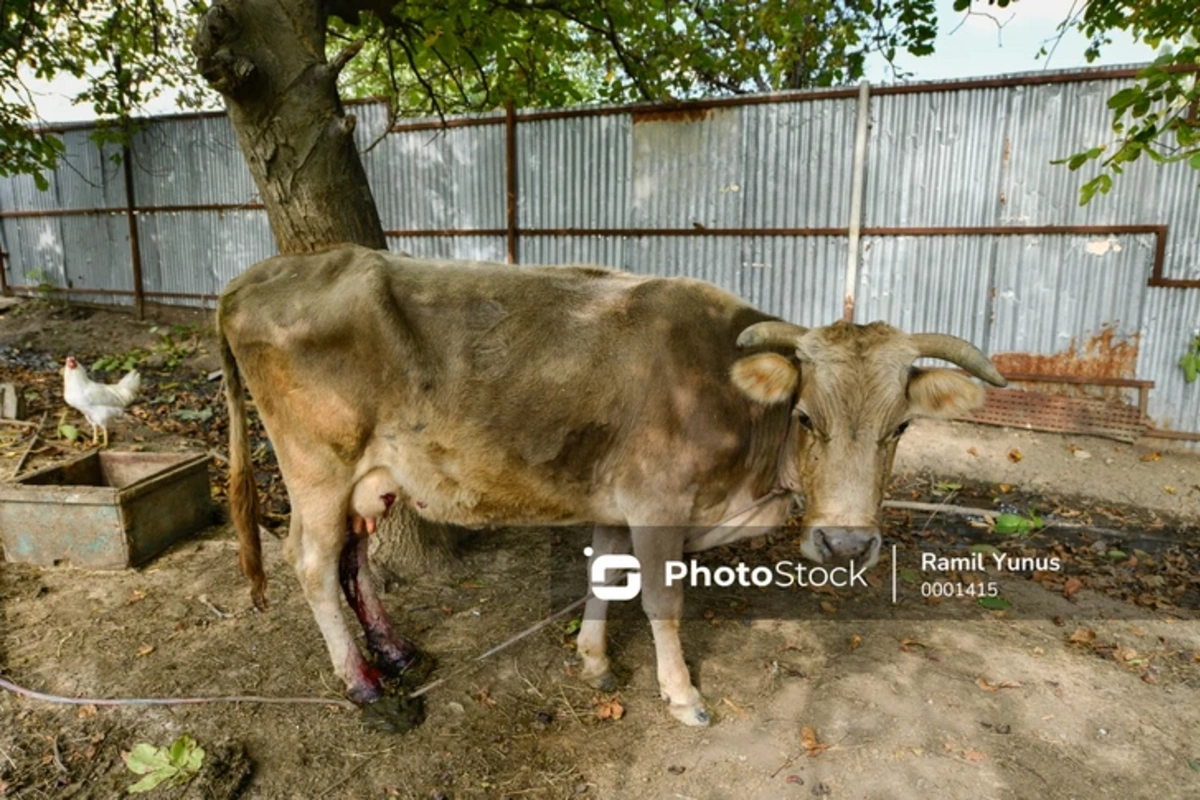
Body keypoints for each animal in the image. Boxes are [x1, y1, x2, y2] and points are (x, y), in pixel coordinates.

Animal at [218, 247, 1003, 729]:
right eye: (806, 416)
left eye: (900, 426)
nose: (845, 543)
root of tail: (258, 274)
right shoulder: (657, 502)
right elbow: (660, 600)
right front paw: (682, 695)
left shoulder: (615, 498)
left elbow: (603, 574)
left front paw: (593, 661)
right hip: (318, 467)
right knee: (312, 563)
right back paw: (363, 685)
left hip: (370, 479)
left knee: (353, 560)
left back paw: (397, 653)